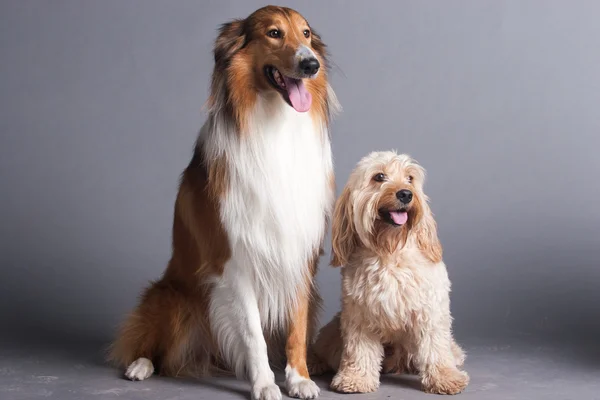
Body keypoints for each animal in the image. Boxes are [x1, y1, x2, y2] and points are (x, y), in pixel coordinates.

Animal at [310, 152, 468, 396]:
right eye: (379, 177)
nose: (405, 193)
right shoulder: (360, 315)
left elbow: (435, 347)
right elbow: (359, 349)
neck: (390, 253)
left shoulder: (430, 311)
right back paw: (314, 361)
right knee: (325, 348)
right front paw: (356, 378)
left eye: (410, 178)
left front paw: (445, 377)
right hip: (335, 329)